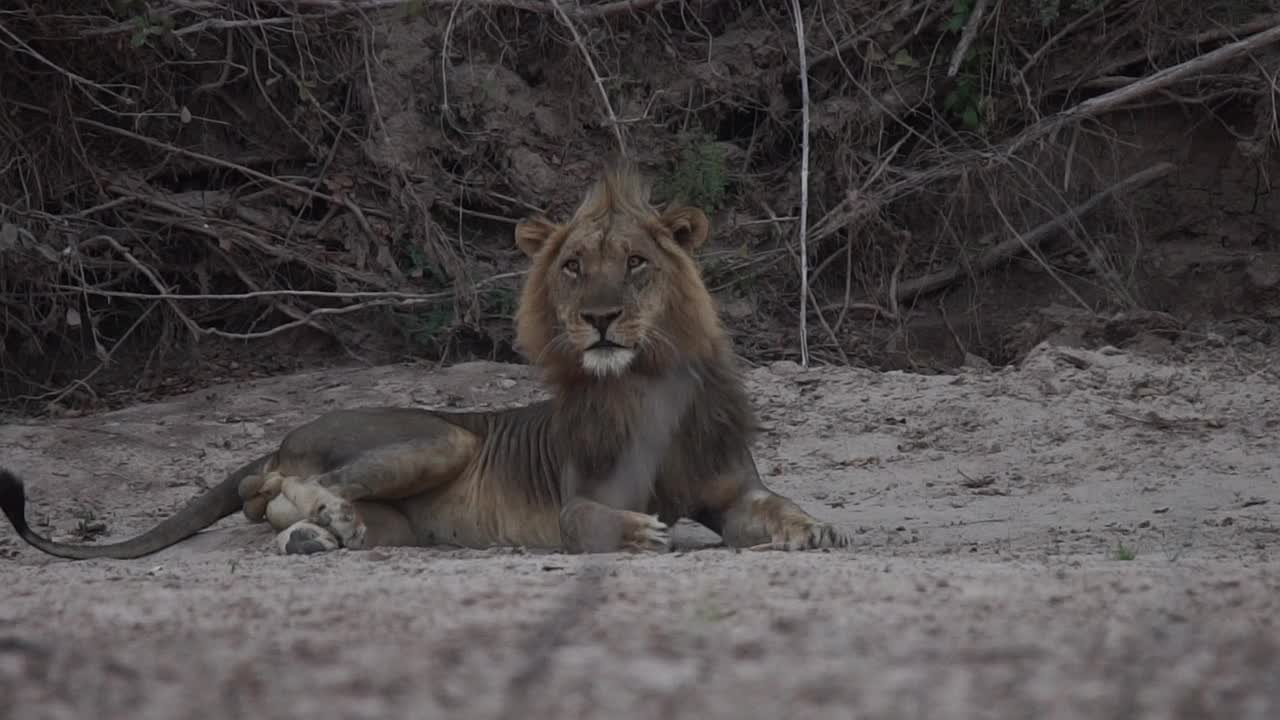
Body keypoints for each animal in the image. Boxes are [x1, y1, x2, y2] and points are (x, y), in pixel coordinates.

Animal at [0, 159, 849, 558]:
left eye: (636, 263)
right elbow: (598, 523)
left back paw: (320, 535)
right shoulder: (578, 502)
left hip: (403, 516)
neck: (647, 384)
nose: (600, 319)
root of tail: (281, 437)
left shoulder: (732, 489)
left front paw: (818, 529)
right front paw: (645, 534)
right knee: (283, 489)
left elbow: (777, 506)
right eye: (574, 267)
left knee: (280, 511)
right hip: (443, 437)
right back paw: (326, 515)